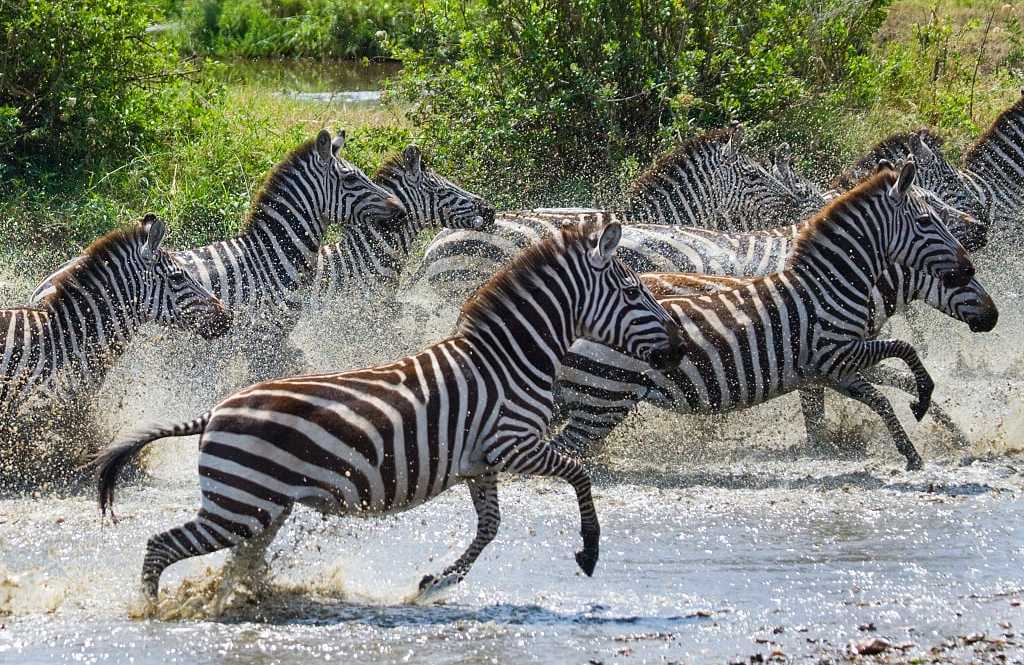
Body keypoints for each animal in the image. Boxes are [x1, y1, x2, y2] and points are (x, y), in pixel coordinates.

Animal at [93, 221, 683, 603]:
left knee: (231, 560)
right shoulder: (515, 443)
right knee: (160, 546)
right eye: (633, 291)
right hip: (238, 505)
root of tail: (214, 410)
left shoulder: (482, 463)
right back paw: (149, 612)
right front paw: (589, 552)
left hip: (261, 508)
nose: (678, 348)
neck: (509, 360)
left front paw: (436, 583)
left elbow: (490, 527)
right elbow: (580, 473)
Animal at [548, 160, 977, 471]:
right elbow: (833, 403)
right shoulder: (832, 355)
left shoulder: (839, 358)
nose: (978, 232)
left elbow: (885, 384)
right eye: (929, 218)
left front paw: (948, 428)